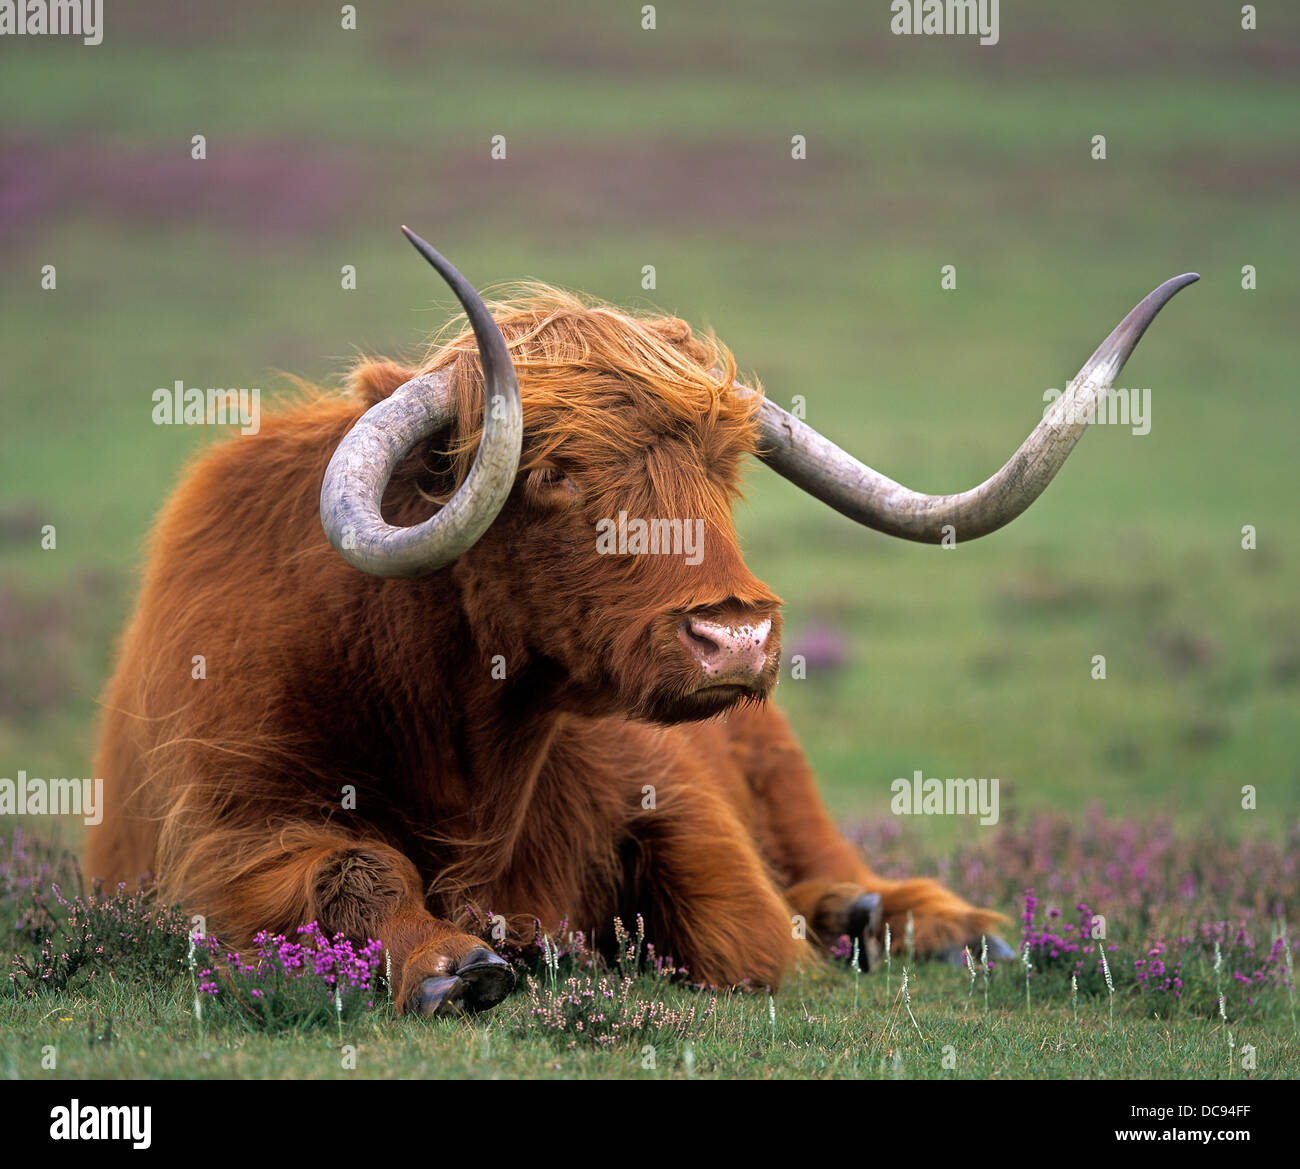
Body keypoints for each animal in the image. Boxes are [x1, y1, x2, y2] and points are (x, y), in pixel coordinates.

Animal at [84, 228, 1196, 1016]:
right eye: (553, 473)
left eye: (725, 468)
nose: (736, 637)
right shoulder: (222, 833)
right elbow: (345, 867)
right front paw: (451, 964)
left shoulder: (677, 802)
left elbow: (740, 932)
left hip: (781, 768)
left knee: (833, 864)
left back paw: (925, 921)